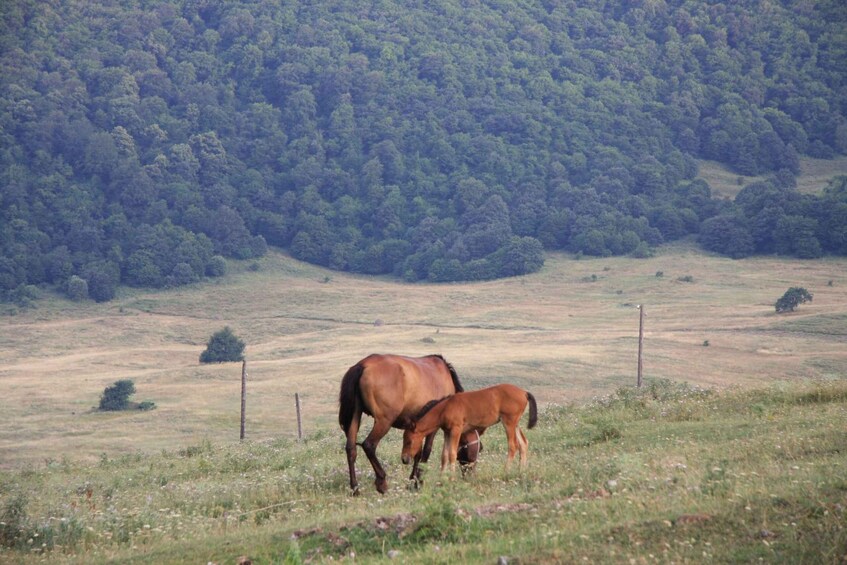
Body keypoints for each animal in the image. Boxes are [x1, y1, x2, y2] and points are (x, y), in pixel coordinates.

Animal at [340, 352, 484, 494]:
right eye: (478, 449)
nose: (470, 475)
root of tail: (362, 365)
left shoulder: (417, 429)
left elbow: (417, 452)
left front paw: (413, 480)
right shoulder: (432, 427)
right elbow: (426, 451)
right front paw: (418, 481)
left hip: (356, 416)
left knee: (351, 449)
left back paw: (355, 488)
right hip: (384, 422)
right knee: (369, 445)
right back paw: (381, 481)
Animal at [402, 384, 536, 472]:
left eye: (409, 441)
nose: (404, 459)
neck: (446, 407)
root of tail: (524, 392)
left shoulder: (456, 430)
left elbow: (452, 454)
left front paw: (451, 478)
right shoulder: (447, 432)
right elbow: (444, 456)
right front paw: (442, 478)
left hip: (509, 423)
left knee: (513, 446)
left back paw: (506, 471)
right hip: (515, 424)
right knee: (523, 443)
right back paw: (521, 472)